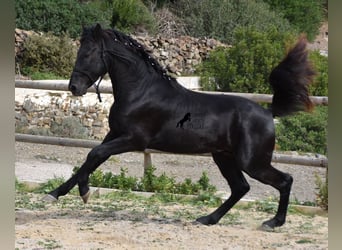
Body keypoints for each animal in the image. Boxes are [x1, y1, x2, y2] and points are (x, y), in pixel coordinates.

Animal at [45, 24, 316, 229]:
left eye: (88, 53)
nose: (74, 88)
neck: (142, 91)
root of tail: (269, 113)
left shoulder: (134, 139)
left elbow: (94, 155)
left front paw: (85, 193)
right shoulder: (114, 135)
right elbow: (91, 159)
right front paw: (56, 193)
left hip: (252, 162)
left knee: (284, 180)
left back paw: (273, 223)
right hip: (224, 157)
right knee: (241, 187)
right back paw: (208, 219)